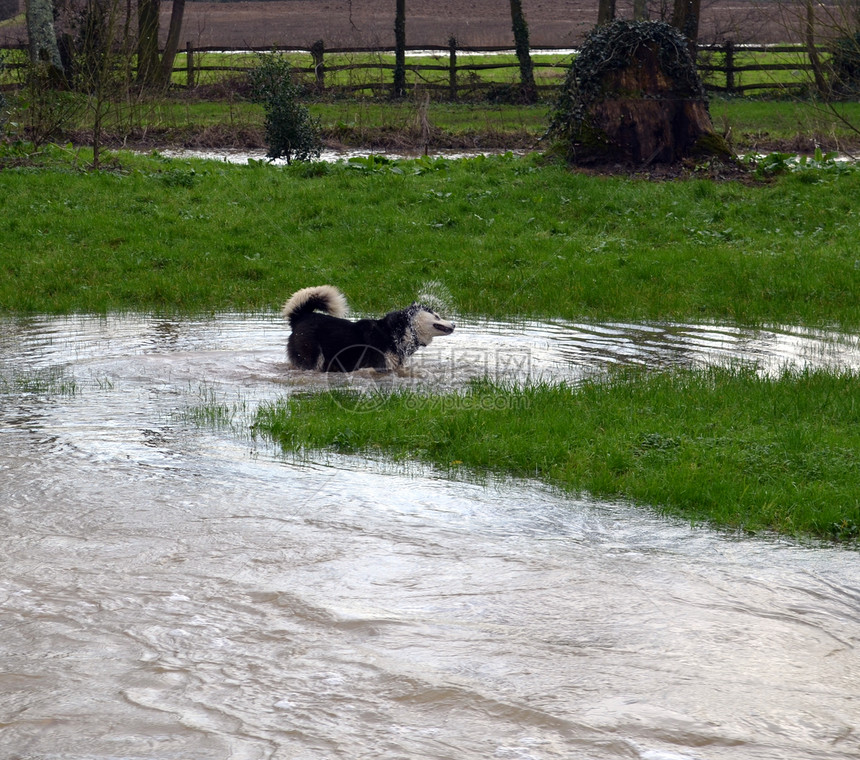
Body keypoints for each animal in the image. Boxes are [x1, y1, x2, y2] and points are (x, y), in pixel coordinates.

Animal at [282, 284, 456, 372]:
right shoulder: (379, 366)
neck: (398, 332)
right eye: (437, 316)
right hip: (312, 357)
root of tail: (301, 316)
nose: (454, 324)